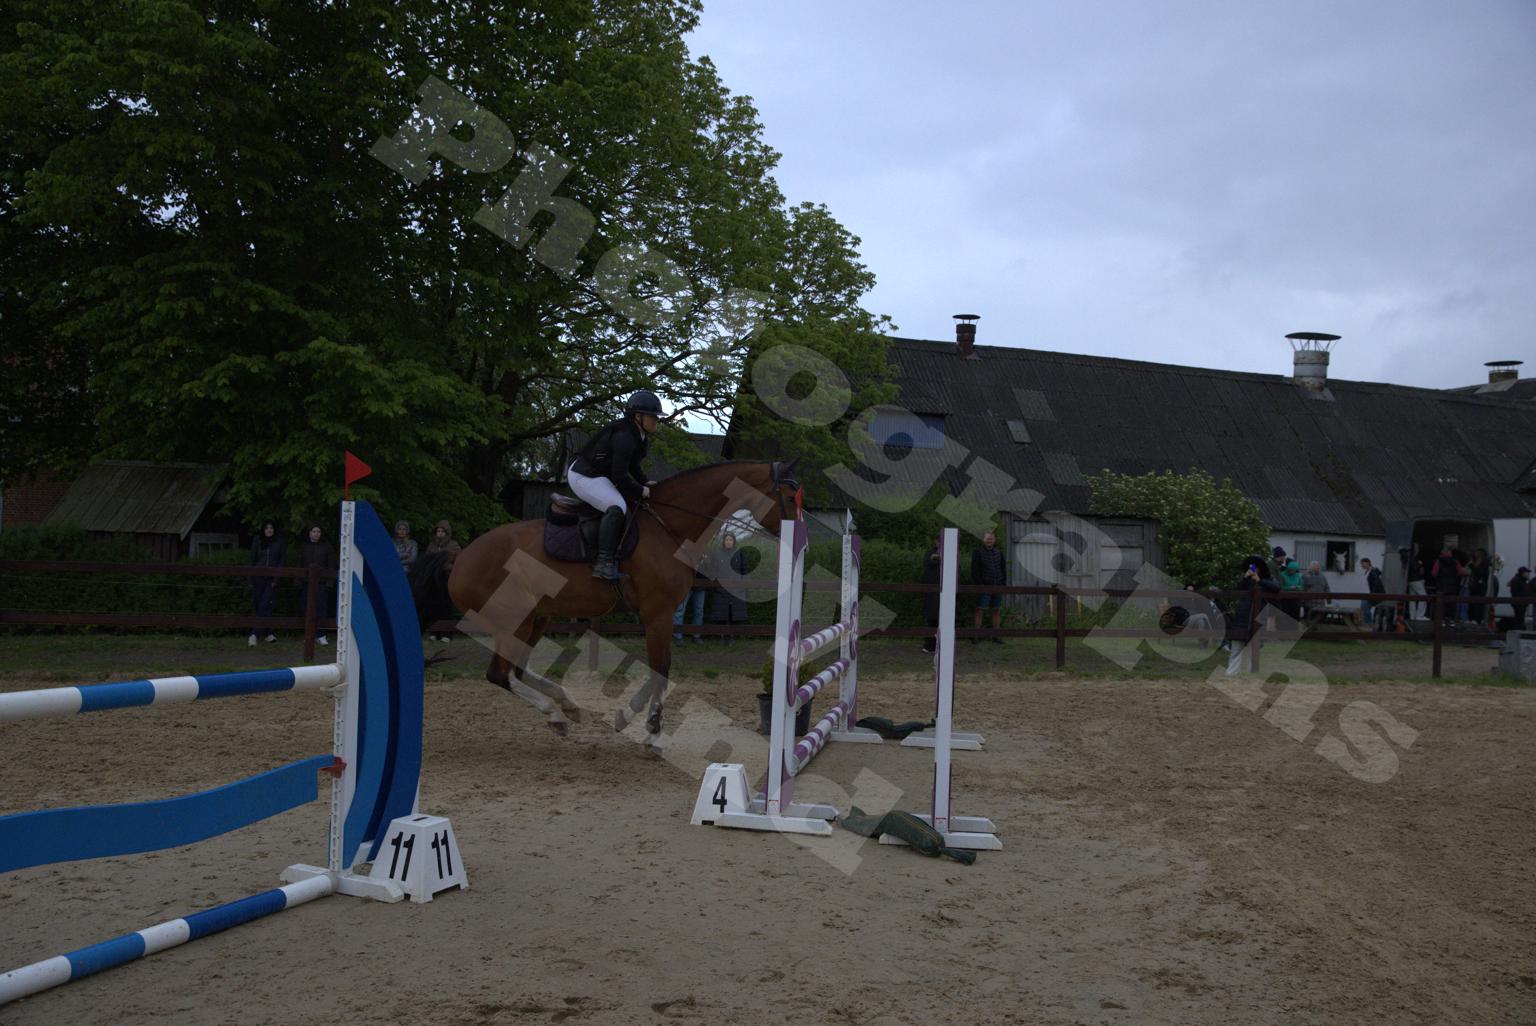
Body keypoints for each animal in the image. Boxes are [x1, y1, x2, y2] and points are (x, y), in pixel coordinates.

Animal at [428, 460, 800, 743]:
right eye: (789, 495)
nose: (799, 534)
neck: (669, 526)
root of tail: (461, 558)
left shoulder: (659, 615)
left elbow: (659, 669)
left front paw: (626, 717)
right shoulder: (658, 613)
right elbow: (661, 668)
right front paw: (651, 730)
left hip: (537, 617)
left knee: (517, 669)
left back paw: (567, 706)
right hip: (514, 619)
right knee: (499, 674)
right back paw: (554, 713)